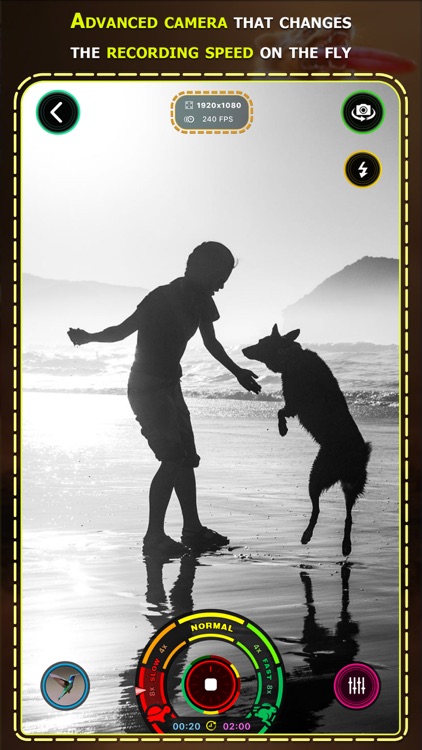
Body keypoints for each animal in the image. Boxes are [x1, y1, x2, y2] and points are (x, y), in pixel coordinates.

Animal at [242, 326, 371, 555]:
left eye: (260, 342)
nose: (243, 349)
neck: (289, 356)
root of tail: (359, 454)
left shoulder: (293, 403)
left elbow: (280, 412)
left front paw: (282, 429)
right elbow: (280, 411)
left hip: (318, 474)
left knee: (318, 508)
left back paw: (307, 535)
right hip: (351, 483)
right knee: (348, 514)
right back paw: (345, 544)